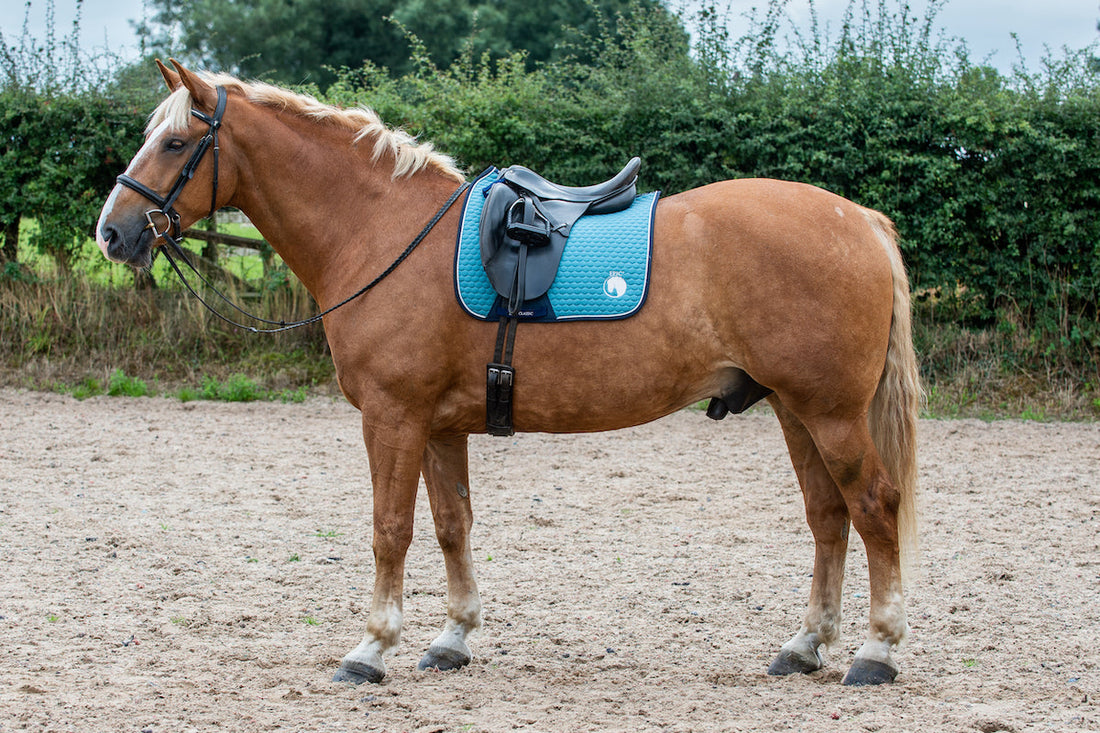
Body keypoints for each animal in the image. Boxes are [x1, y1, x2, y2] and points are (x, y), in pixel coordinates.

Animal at [94, 62, 924, 686]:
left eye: (174, 142)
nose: (112, 233)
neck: (383, 231)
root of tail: (861, 219)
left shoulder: (392, 416)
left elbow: (390, 529)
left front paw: (372, 646)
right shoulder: (436, 425)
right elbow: (451, 525)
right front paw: (452, 637)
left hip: (831, 412)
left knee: (872, 504)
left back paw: (876, 649)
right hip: (794, 407)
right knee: (828, 517)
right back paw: (805, 645)